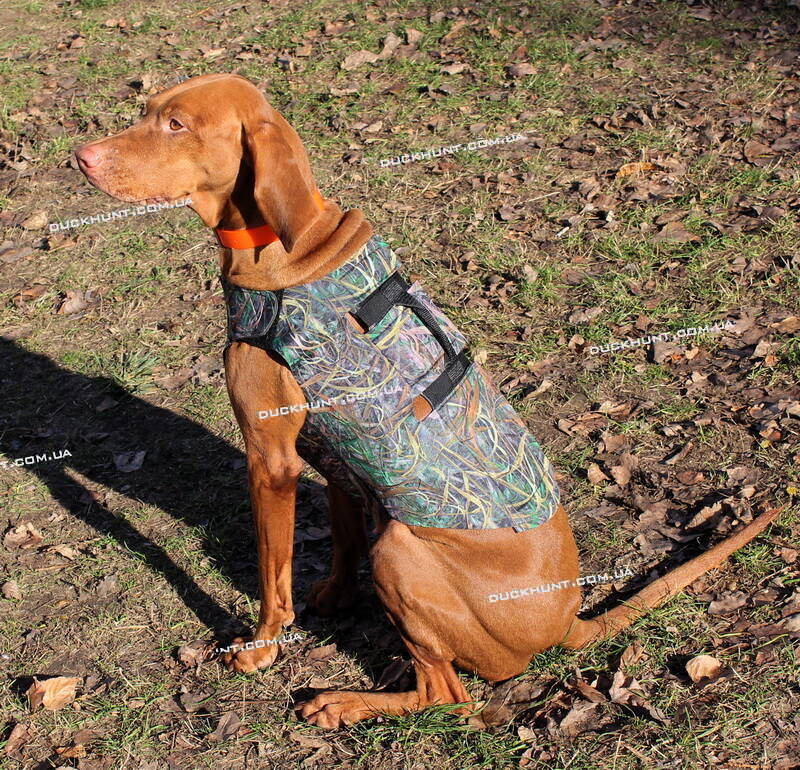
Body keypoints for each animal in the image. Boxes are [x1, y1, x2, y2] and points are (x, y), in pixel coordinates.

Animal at [74, 73, 781, 728]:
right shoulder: (333, 455)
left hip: (403, 553)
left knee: (449, 695)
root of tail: (566, 622)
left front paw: (264, 646)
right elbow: (343, 535)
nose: (80, 156)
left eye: (176, 125)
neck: (284, 246)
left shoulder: (270, 455)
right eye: (147, 110)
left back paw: (345, 703)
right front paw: (333, 596)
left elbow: (273, 576)